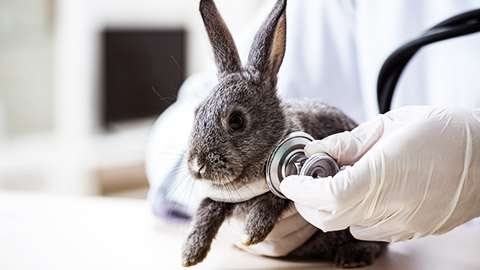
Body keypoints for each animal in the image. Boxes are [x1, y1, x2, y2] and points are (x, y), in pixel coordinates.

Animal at [180, 0, 386, 266]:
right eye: (196, 112)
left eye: (236, 121)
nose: (197, 165)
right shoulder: (220, 198)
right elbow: (206, 208)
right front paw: (190, 253)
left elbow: (276, 197)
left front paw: (252, 232)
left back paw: (352, 255)